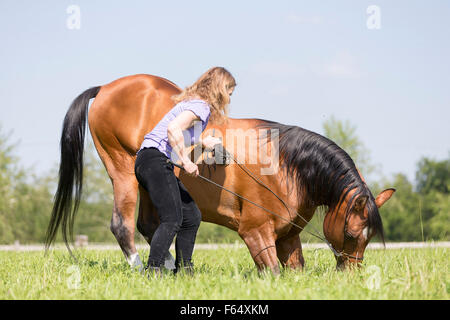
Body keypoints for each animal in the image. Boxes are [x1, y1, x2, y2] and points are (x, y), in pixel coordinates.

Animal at [44, 74, 394, 274]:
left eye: (369, 237)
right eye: (352, 233)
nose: (352, 275)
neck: (285, 164)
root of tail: (105, 88)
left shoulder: (288, 236)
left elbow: (295, 269)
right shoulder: (255, 233)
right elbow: (271, 271)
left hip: (150, 188)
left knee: (151, 225)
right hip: (123, 174)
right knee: (123, 226)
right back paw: (141, 270)